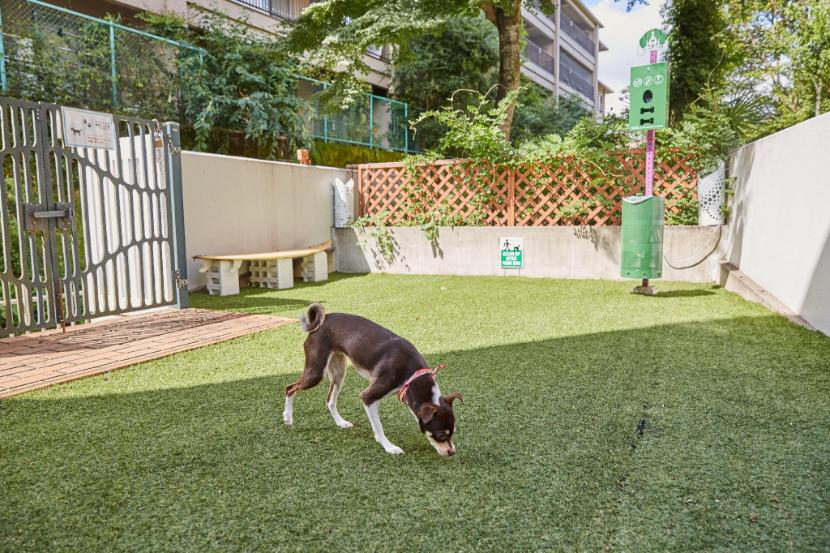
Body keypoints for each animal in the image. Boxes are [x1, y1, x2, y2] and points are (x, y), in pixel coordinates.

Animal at [284, 304, 464, 454]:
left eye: (453, 432)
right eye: (441, 435)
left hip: (339, 374)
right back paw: (288, 417)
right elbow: (379, 427)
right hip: (316, 373)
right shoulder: (368, 397)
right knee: (290, 388)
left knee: (330, 400)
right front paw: (389, 447)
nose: (452, 452)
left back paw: (341, 423)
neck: (412, 376)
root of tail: (324, 319)